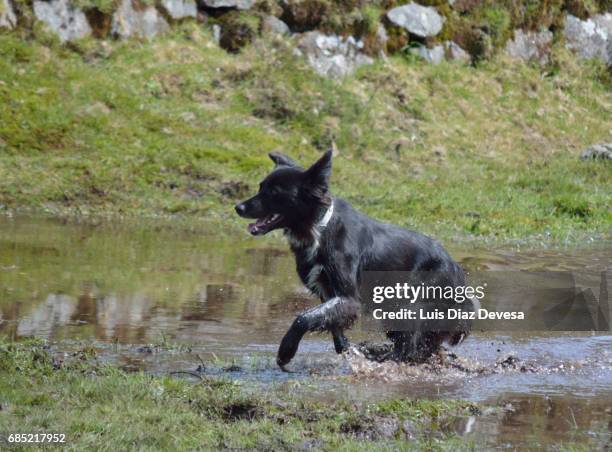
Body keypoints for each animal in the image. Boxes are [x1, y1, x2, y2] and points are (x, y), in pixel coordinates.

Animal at [235, 150, 474, 370]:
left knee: (410, 348)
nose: (238, 207)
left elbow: (305, 317)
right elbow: (331, 324)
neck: (318, 229)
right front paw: (350, 351)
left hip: (412, 306)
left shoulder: (349, 297)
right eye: (260, 187)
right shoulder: (328, 292)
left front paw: (286, 352)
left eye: (274, 192)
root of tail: (456, 269)